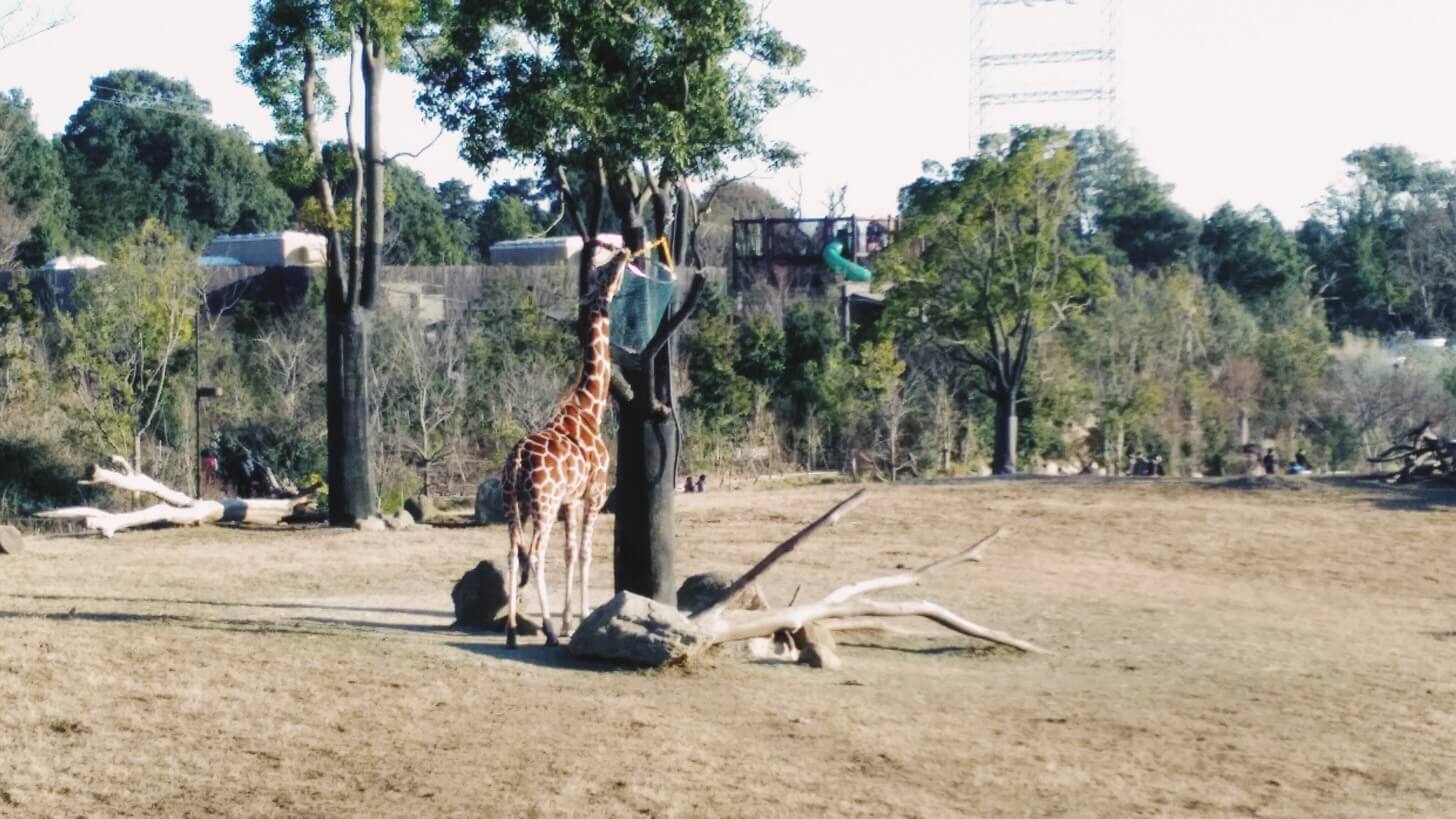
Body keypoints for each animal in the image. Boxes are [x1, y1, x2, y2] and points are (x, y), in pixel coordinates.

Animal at [500, 247, 631, 644]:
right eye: (604, 271)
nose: (624, 251)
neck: (590, 408)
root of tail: (516, 460)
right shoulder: (595, 494)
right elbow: (586, 553)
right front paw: (583, 618)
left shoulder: (570, 501)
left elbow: (571, 552)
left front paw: (571, 622)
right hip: (542, 505)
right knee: (536, 555)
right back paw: (545, 630)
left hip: (513, 503)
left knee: (512, 553)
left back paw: (513, 632)